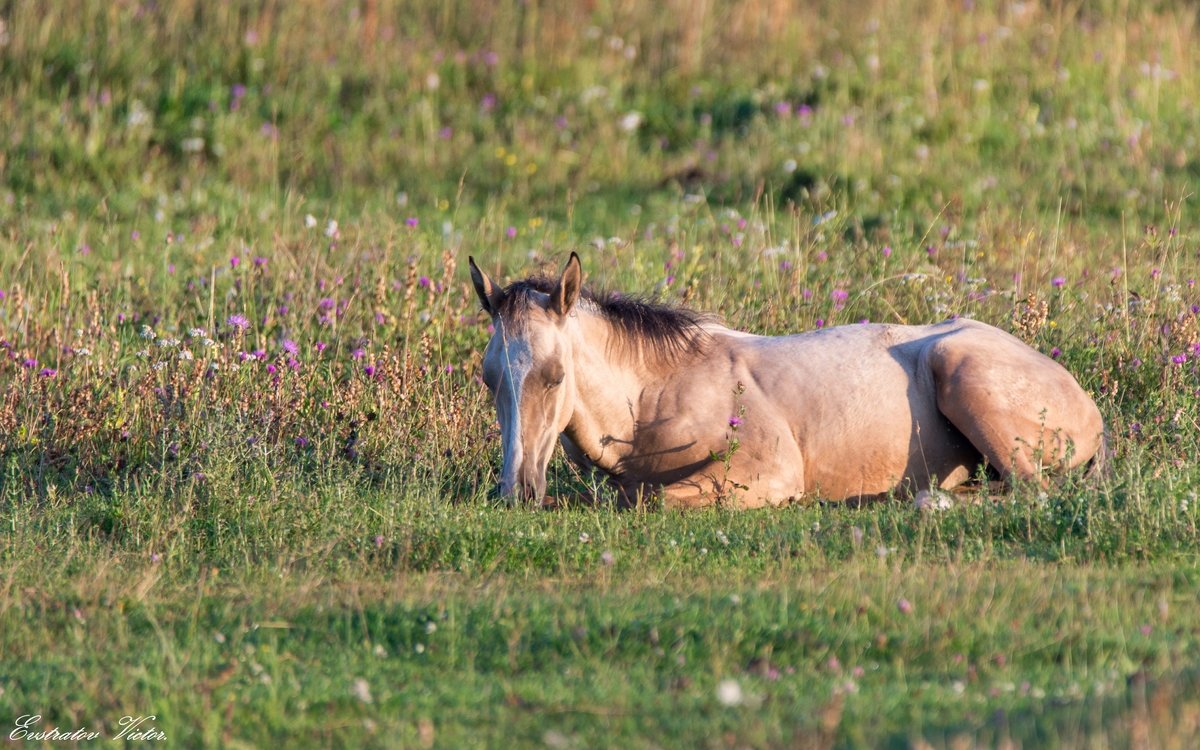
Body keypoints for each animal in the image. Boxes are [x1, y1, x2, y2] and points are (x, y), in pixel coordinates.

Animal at [468, 253, 1104, 508]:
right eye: (489, 379)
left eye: (554, 377)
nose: (516, 491)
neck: (656, 394)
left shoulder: (766, 473)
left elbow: (653, 501)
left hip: (962, 372)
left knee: (1029, 489)